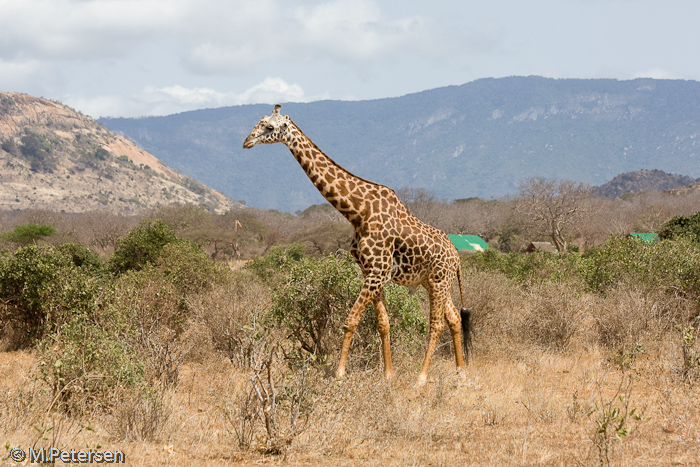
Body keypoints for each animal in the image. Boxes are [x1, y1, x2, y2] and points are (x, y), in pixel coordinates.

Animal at [243, 104, 474, 386]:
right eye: (259, 122)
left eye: (269, 127)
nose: (246, 141)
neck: (357, 212)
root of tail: (457, 257)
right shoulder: (372, 272)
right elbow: (383, 323)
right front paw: (388, 374)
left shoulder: (377, 271)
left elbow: (350, 321)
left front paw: (340, 374)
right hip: (432, 281)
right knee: (454, 319)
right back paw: (460, 372)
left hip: (440, 281)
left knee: (437, 323)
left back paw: (422, 377)